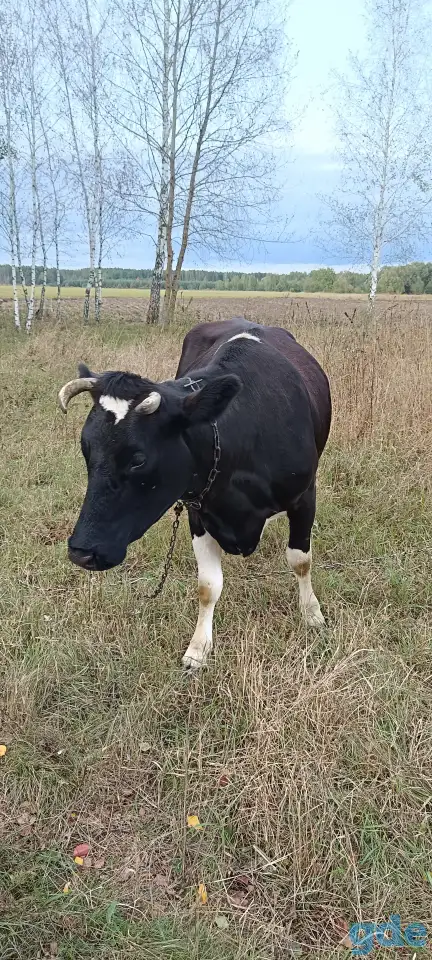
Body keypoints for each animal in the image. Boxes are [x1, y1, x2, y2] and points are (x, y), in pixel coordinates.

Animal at [58, 317, 331, 672]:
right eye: (86, 447)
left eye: (138, 459)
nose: (81, 552)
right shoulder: (197, 510)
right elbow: (208, 586)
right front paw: (199, 648)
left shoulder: (305, 497)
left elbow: (300, 561)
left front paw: (312, 614)